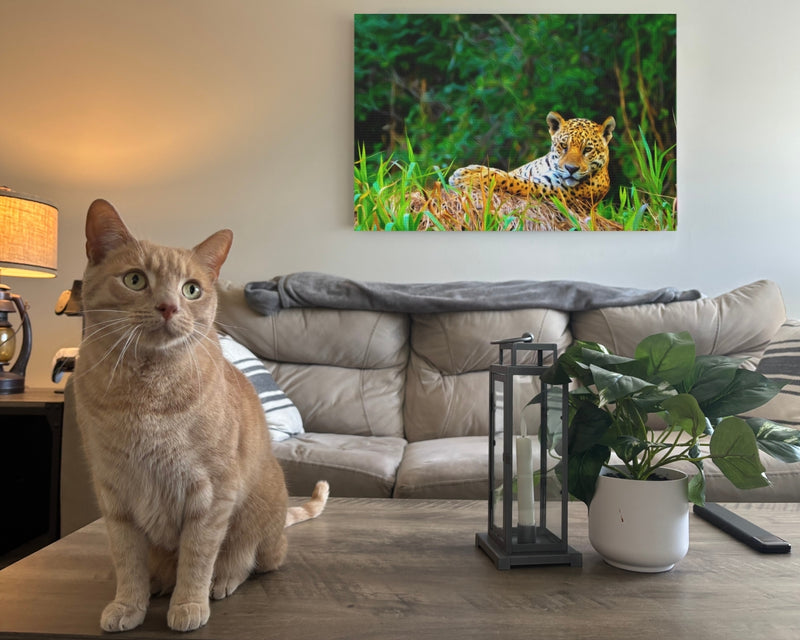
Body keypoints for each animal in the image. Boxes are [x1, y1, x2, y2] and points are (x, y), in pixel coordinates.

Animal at [448, 111, 616, 214]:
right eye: (563, 146)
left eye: (587, 149)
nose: (571, 169)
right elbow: (505, 173)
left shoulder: (548, 187)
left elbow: (510, 180)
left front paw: (467, 177)